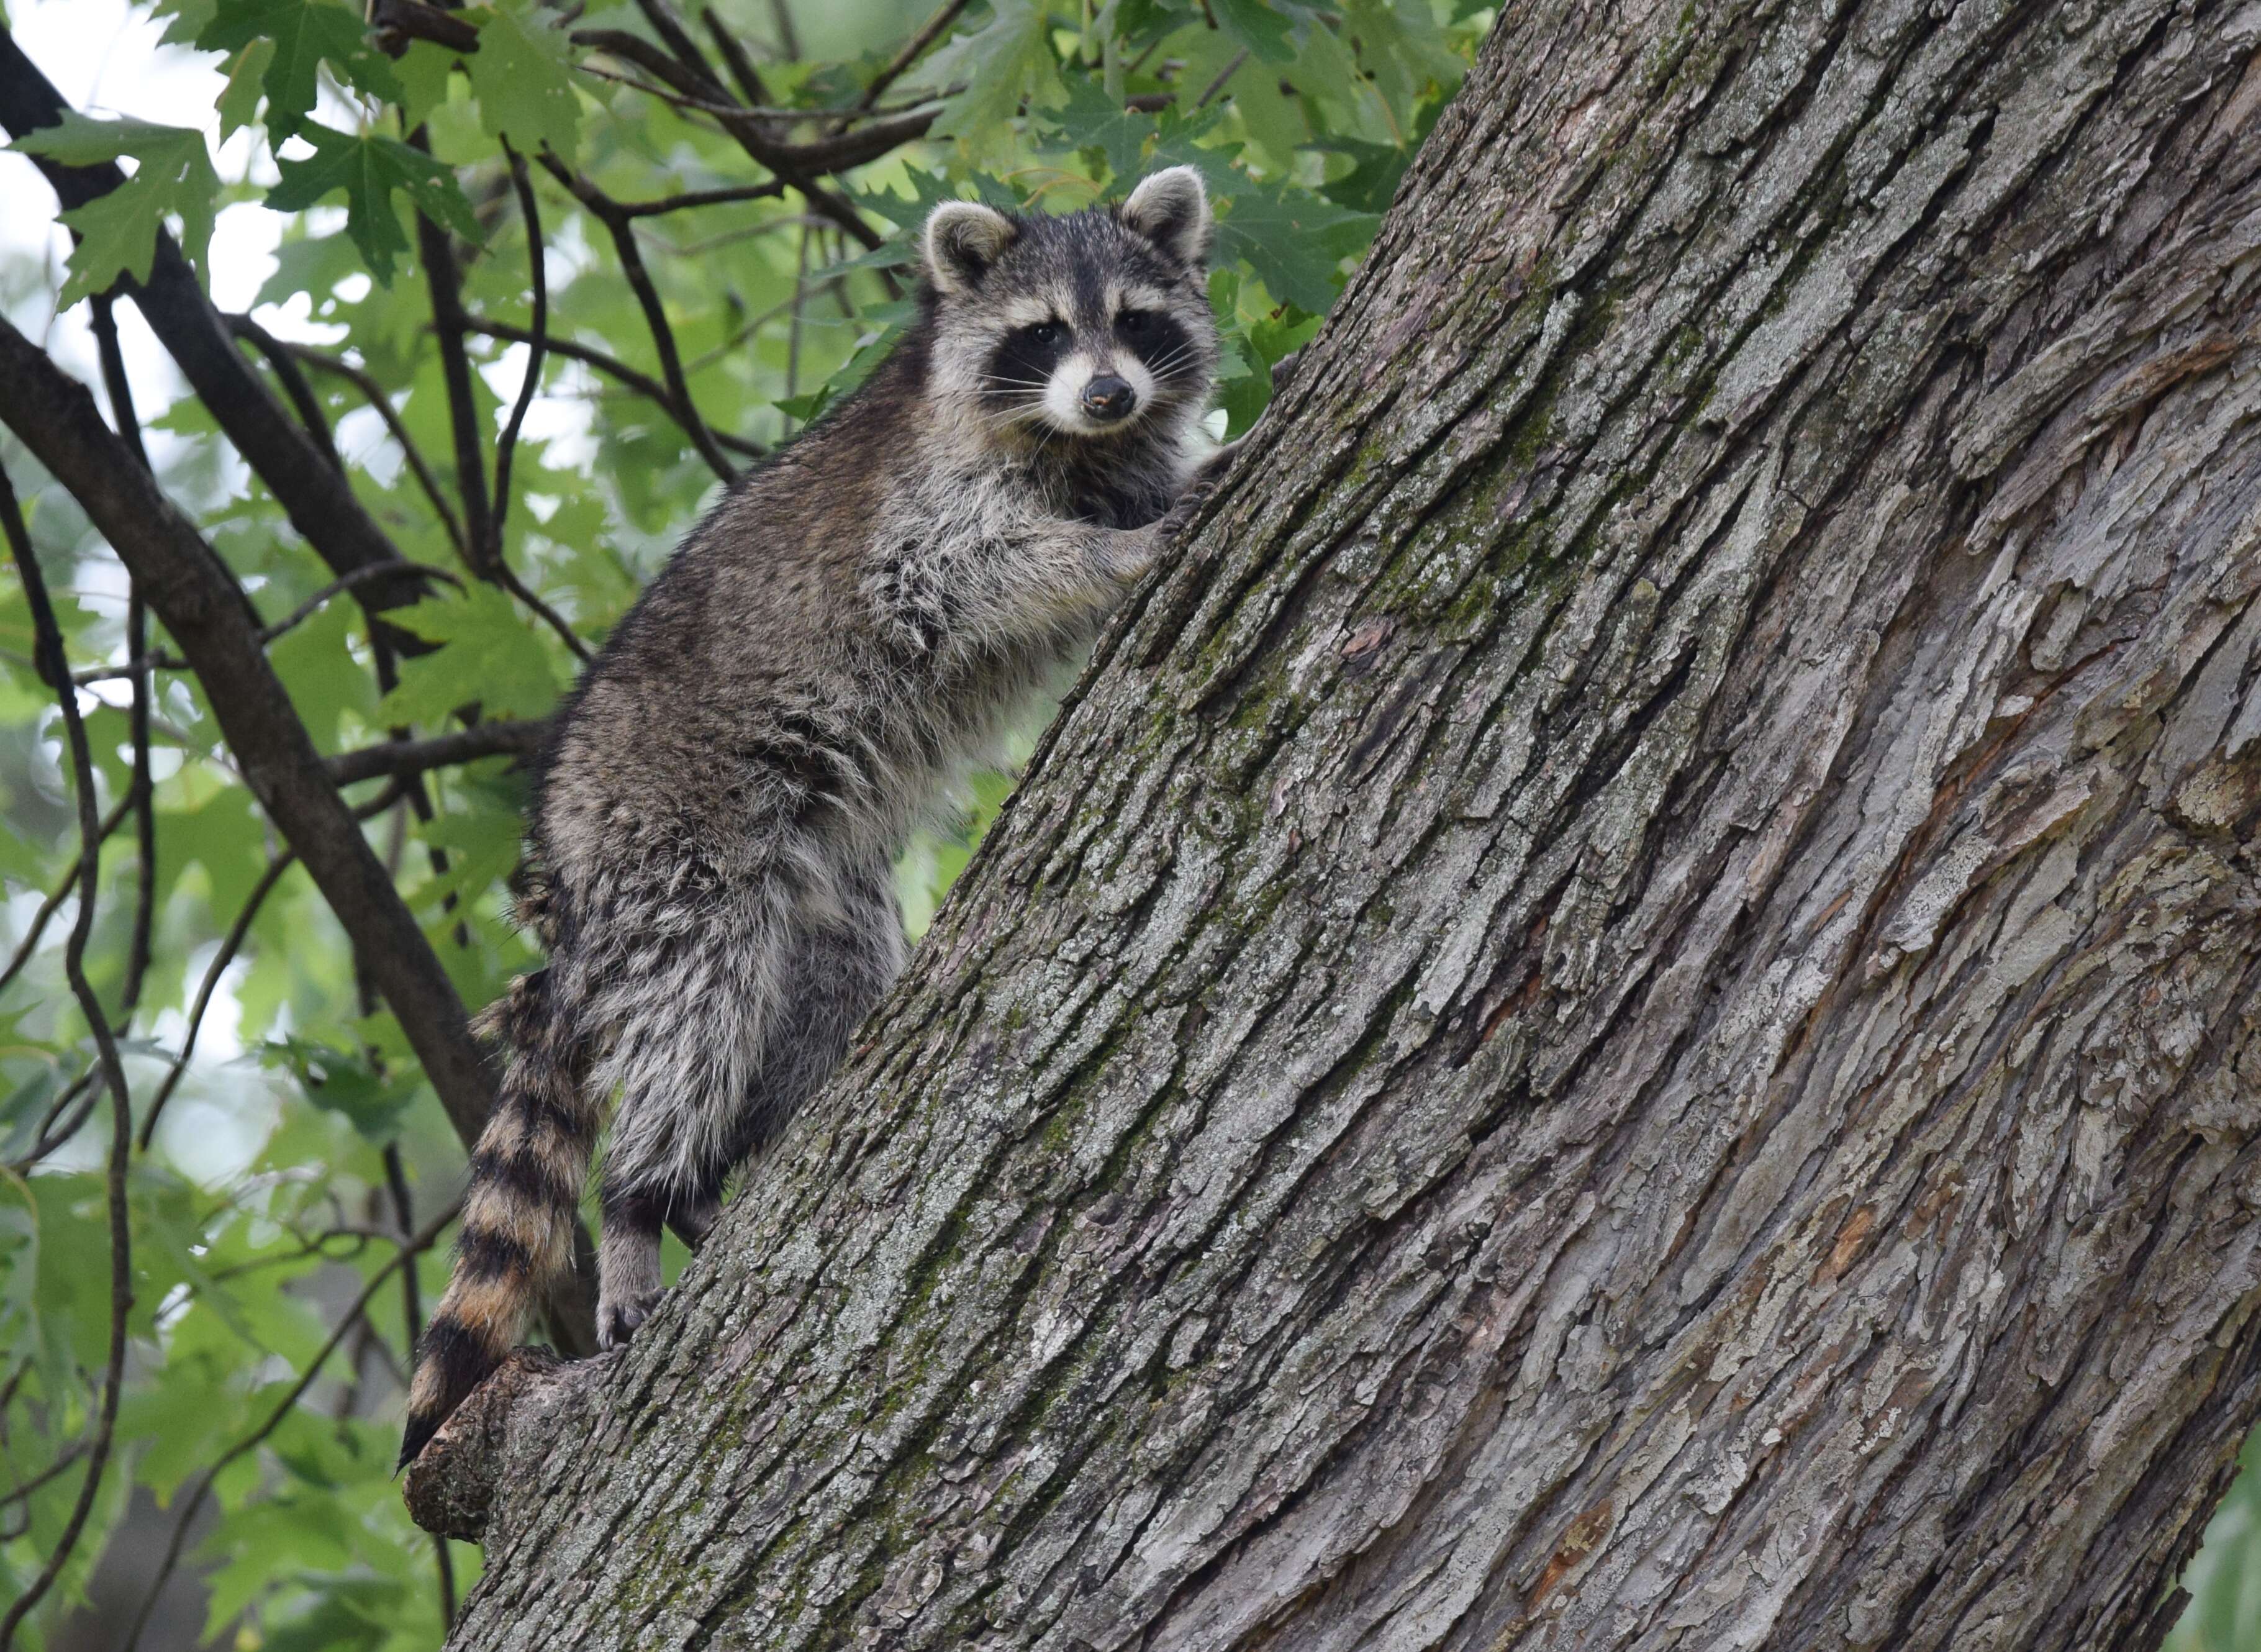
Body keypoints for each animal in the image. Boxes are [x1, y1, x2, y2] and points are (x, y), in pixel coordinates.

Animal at [397, 168, 1230, 1473]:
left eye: (1136, 324)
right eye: (1045, 334)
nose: (1109, 392)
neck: (1074, 441)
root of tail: (563, 863)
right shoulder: (928, 510)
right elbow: (968, 571)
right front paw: (1123, 547)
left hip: (823, 900)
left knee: (822, 988)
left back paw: (714, 1173)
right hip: (674, 845)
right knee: (697, 1008)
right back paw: (641, 1195)